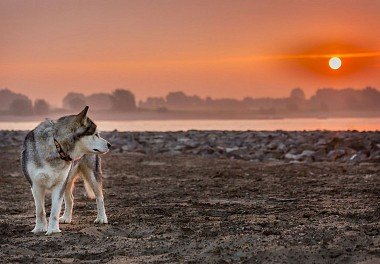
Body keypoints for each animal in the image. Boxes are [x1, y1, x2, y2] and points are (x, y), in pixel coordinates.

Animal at [21, 106, 110, 234]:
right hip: (68, 180)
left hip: (91, 176)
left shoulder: (59, 185)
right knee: (70, 199)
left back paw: (102, 218)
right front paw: (39, 228)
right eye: (95, 134)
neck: (56, 145)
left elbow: (54, 210)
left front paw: (53, 230)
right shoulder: (36, 185)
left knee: (100, 197)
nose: (110, 145)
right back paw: (67, 218)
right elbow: (40, 211)